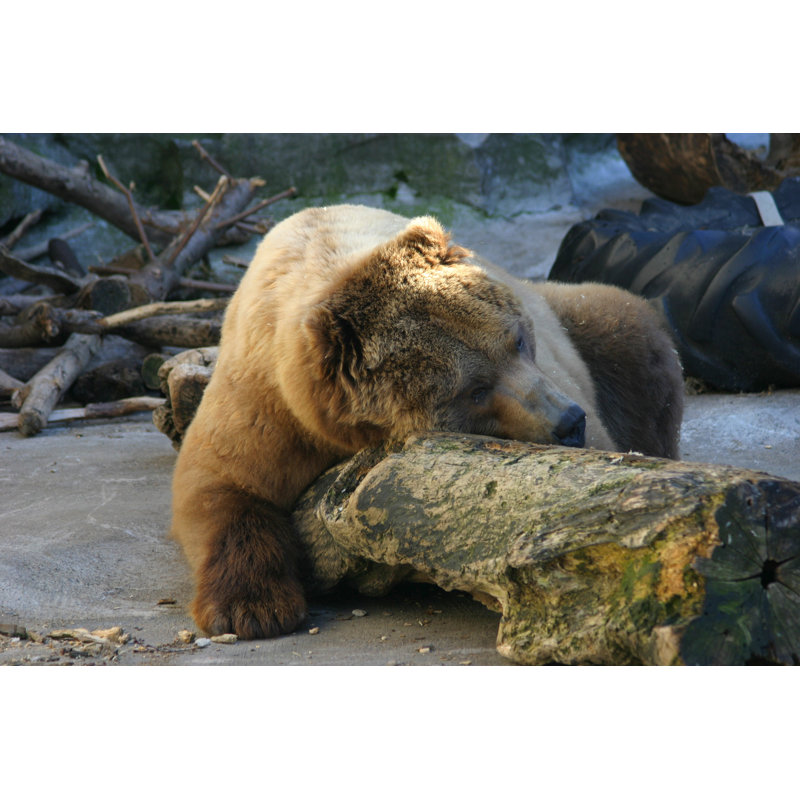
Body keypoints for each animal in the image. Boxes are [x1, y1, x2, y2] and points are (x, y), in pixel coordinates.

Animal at [170, 204, 684, 639]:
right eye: (474, 390)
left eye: (517, 340)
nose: (568, 422)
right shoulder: (266, 402)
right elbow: (221, 484)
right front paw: (254, 608)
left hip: (579, 316)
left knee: (630, 336)